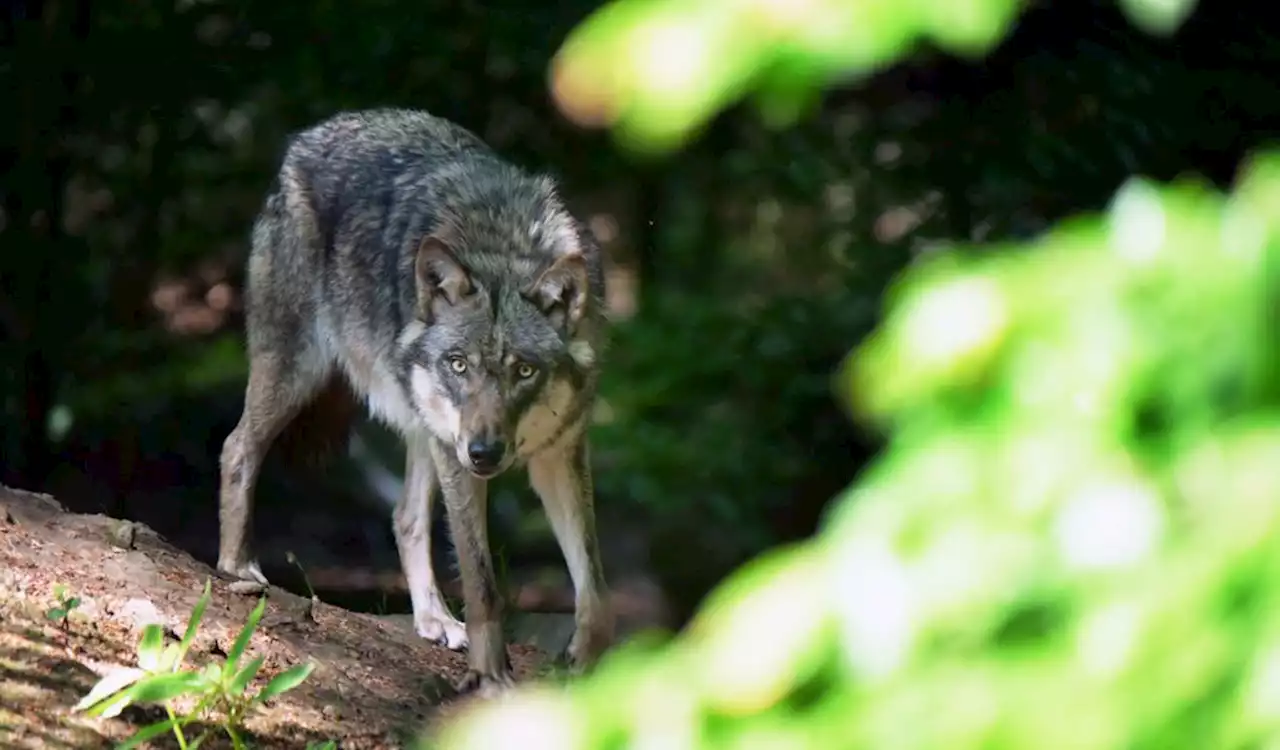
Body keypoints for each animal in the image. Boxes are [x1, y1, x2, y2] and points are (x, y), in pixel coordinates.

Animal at [217, 106, 616, 696]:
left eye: (523, 371)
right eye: (459, 364)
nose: (485, 454)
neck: (500, 248)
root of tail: (310, 136)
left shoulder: (558, 452)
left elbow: (593, 585)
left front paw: (588, 666)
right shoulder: (459, 457)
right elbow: (482, 581)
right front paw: (491, 677)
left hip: (424, 427)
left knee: (405, 516)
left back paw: (434, 621)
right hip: (298, 374)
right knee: (237, 447)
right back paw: (236, 566)